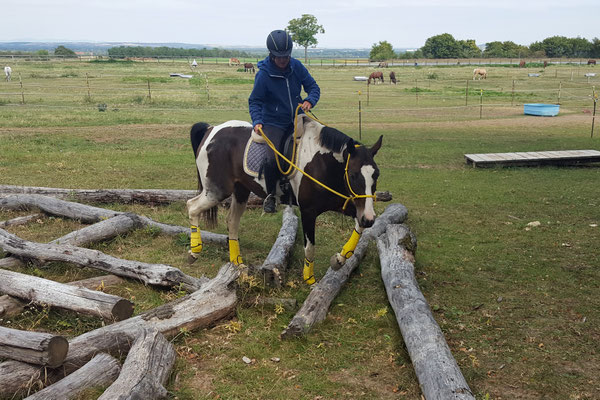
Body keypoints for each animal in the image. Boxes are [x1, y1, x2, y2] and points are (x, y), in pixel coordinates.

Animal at [186, 114, 383, 285]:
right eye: (353, 175)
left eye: (376, 175)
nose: (370, 218)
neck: (321, 163)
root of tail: (211, 129)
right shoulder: (308, 211)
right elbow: (310, 247)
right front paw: (309, 279)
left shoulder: (350, 204)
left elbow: (359, 227)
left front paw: (339, 259)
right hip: (216, 191)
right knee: (192, 207)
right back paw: (194, 251)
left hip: (240, 191)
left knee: (232, 222)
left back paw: (237, 263)